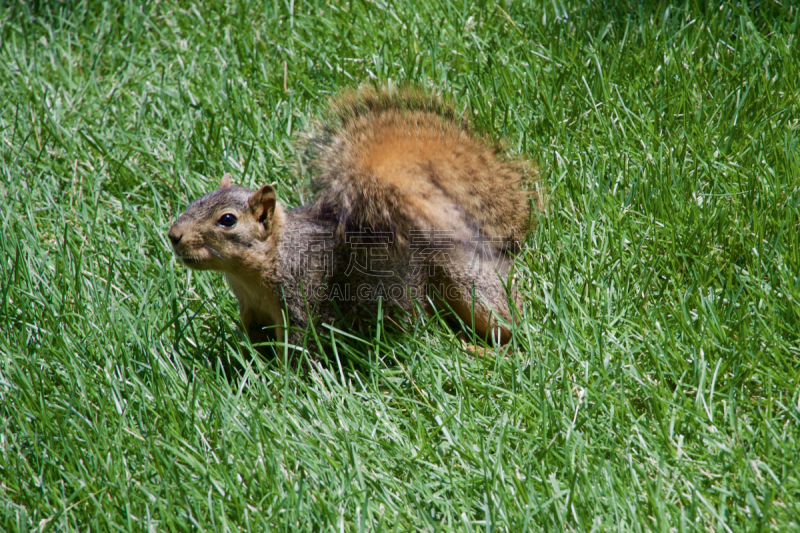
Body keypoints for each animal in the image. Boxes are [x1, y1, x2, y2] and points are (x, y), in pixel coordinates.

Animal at [168, 85, 544, 352]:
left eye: (227, 220)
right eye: (196, 201)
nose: (173, 235)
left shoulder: (304, 301)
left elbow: (301, 353)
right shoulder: (252, 314)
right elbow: (254, 348)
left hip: (467, 282)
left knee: (507, 327)